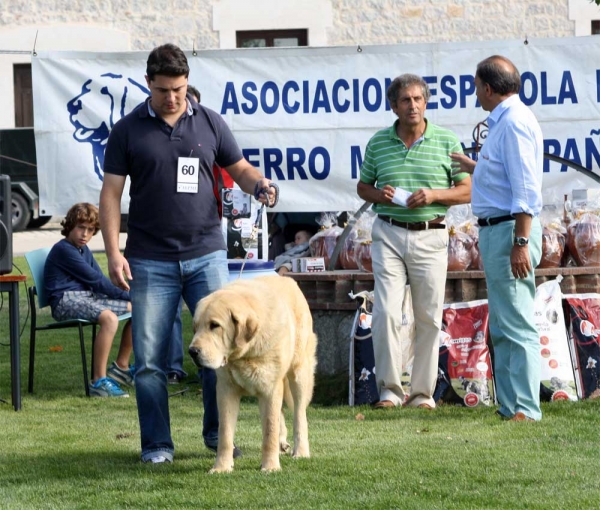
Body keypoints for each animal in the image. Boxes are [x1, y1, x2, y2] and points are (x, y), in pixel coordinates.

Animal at [190, 274, 316, 474]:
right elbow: (225, 433)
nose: (192, 351)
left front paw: (270, 466)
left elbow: (269, 430)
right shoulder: (226, 391)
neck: (245, 354)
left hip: (298, 373)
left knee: (299, 414)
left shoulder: (270, 388)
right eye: (196, 327)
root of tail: (288, 279)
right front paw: (221, 467)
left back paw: (301, 451)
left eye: (214, 325)